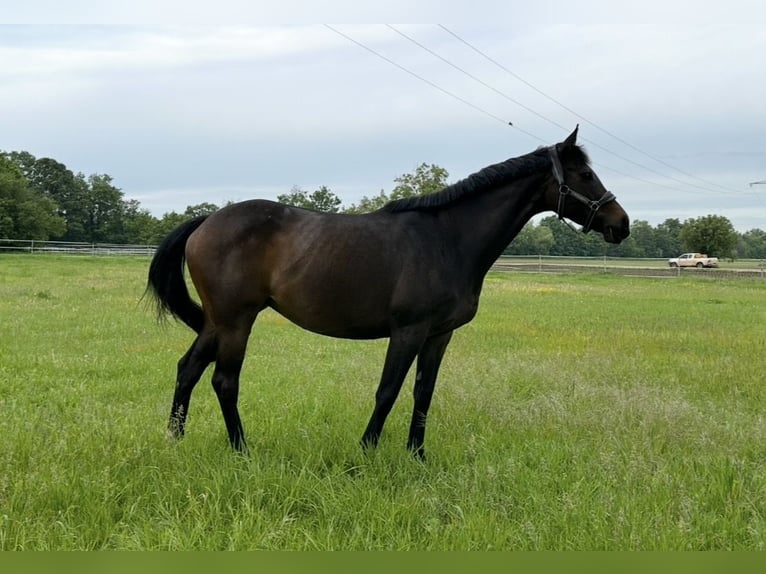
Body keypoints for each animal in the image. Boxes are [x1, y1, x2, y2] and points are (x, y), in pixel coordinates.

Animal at [146, 126, 630, 459]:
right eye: (585, 173)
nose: (620, 223)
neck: (447, 238)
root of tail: (206, 221)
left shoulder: (439, 335)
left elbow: (423, 393)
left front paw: (417, 455)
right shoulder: (408, 331)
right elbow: (388, 391)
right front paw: (367, 451)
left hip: (216, 322)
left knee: (188, 369)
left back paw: (174, 439)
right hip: (236, 321)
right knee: (224, 381)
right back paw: (241, 449)